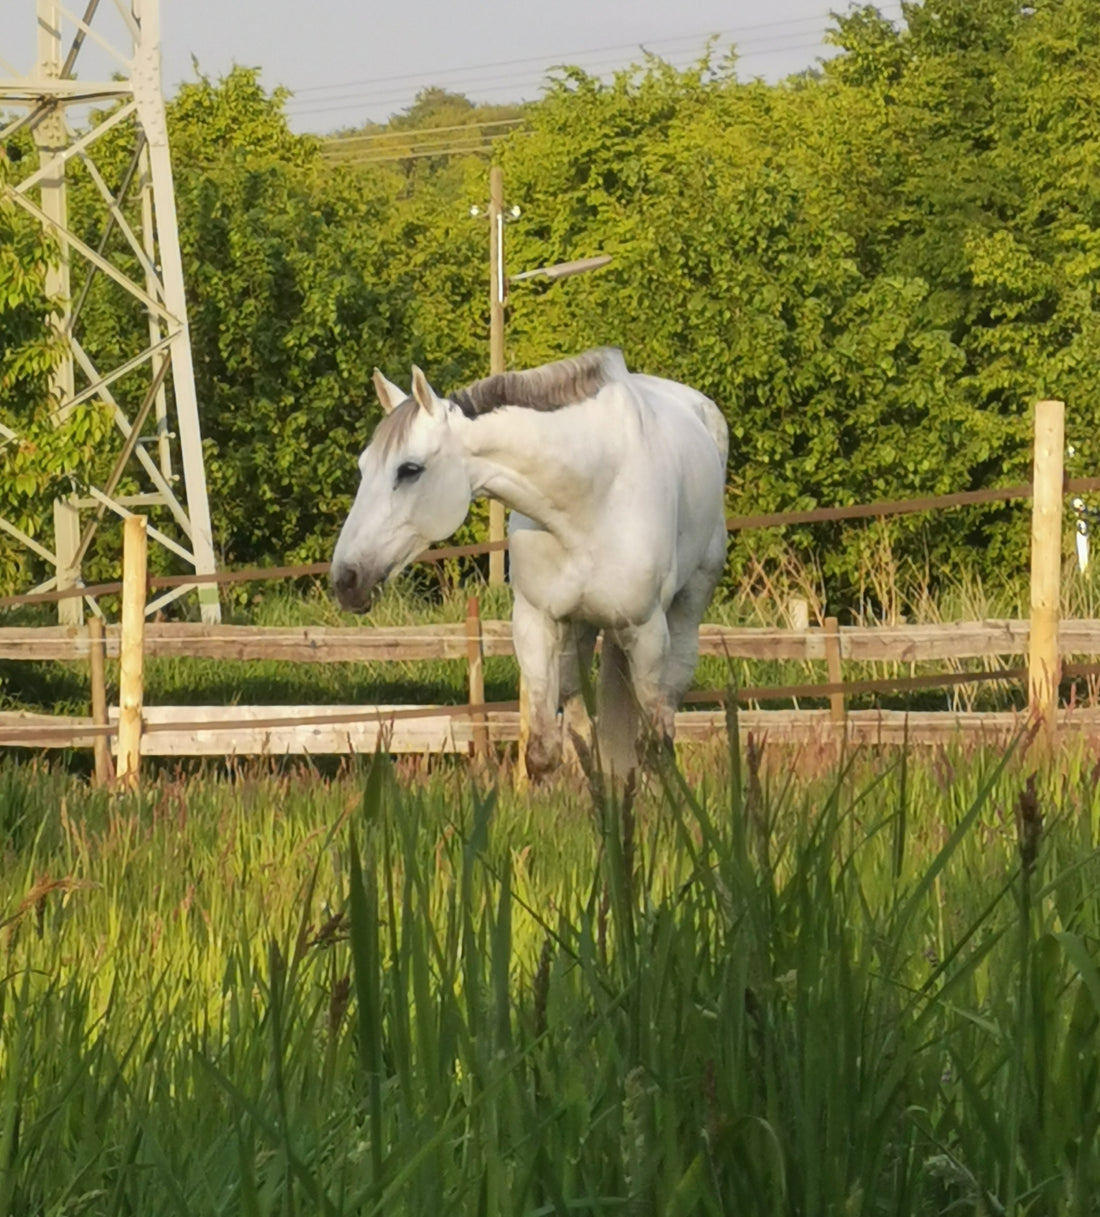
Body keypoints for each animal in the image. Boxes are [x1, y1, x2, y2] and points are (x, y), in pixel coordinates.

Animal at [335, 348, 730, 774]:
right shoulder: (535, 624)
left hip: (682, 615)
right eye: (363, 467)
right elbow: (544, 753)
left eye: (409, 470)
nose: (345, 579)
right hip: (580, 630)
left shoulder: (646, 634)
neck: (590, 496)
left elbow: (655, 749)